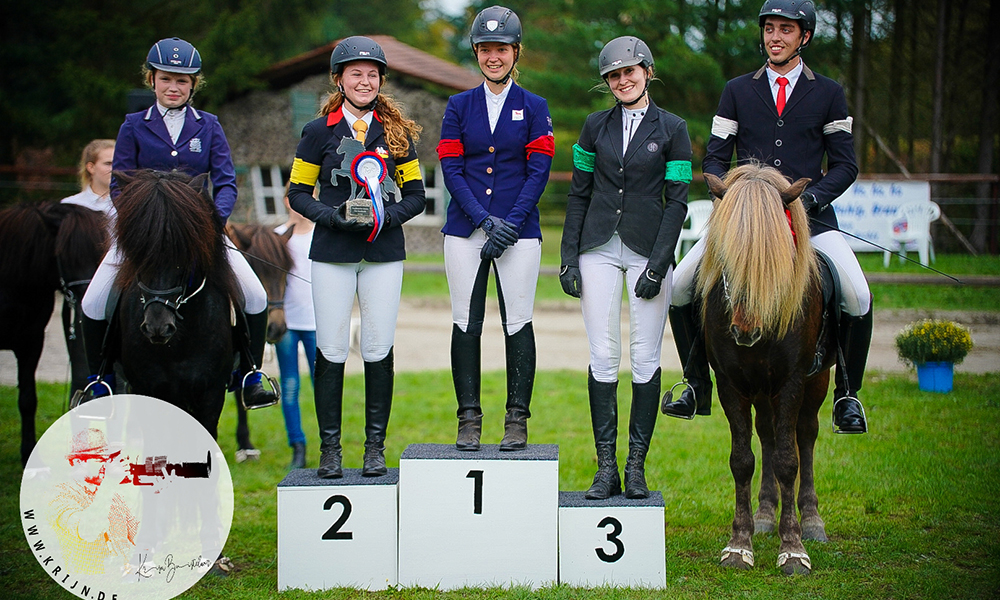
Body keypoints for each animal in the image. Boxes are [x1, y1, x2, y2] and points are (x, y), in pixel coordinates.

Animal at [112, 169, 242, 436]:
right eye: (137, 252)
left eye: (184, 253)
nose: (157, 327)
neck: (177, 346)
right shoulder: (147, 392)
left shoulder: (211, 394)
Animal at [700, 162, 840, 576]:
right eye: (724, 251)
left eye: (776, 252)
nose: (745, 332)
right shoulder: (730, 383)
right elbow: (742, 460)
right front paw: (739, 544)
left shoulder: (792, 381)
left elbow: (788, 461)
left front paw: (793, 548)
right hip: (760, 388)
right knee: (767, 434)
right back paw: (764, 514)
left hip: (814, 381)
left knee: (804, 436)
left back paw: (811, 520)